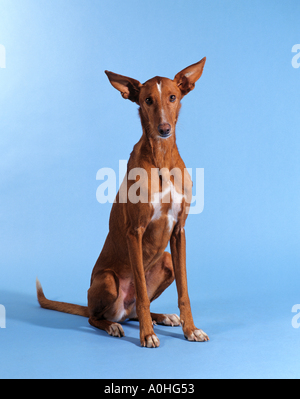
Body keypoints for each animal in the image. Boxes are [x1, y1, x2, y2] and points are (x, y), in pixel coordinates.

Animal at [36, 57, 210, 348]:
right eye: (148, 100)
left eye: (172, 97)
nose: (164, 129)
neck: (161, 159)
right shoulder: (134, 232)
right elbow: (140, 290)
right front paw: (147, 335)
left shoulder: (179, 231)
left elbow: (183, 291)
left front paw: (191, 329)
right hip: (107, 281)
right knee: (98, 316)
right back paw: (115, 326)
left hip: (165, 261)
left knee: (133, 310)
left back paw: (160, 317)